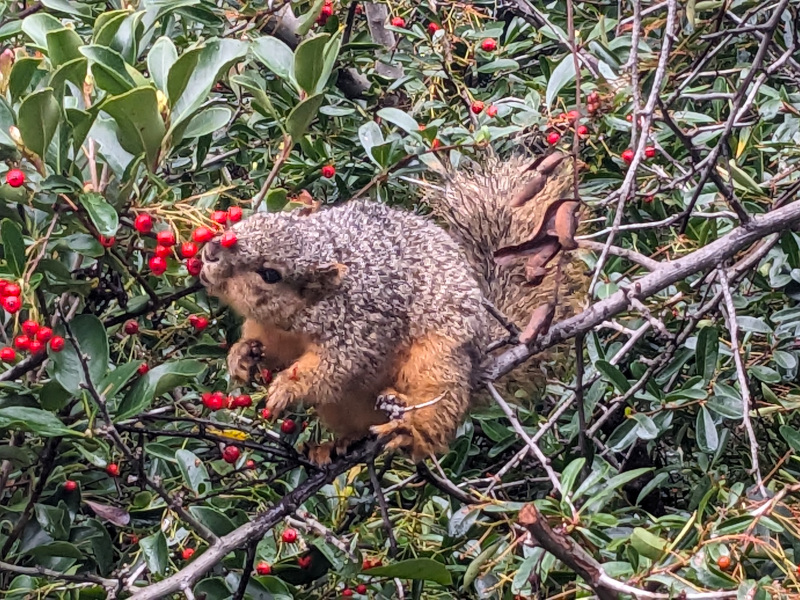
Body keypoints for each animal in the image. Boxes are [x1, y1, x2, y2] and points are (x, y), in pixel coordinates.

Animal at [199, 151, 587, 464]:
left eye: (270, 274)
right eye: (241, 224)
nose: (210, 251)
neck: (294, 318)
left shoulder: (363, 327)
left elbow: (334, 368)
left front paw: (288, 387)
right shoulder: (272, 329)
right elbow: (270, 349)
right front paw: (242, 355)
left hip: (438, 361)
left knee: (438, 407)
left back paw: (411, 431)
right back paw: (334, 445)